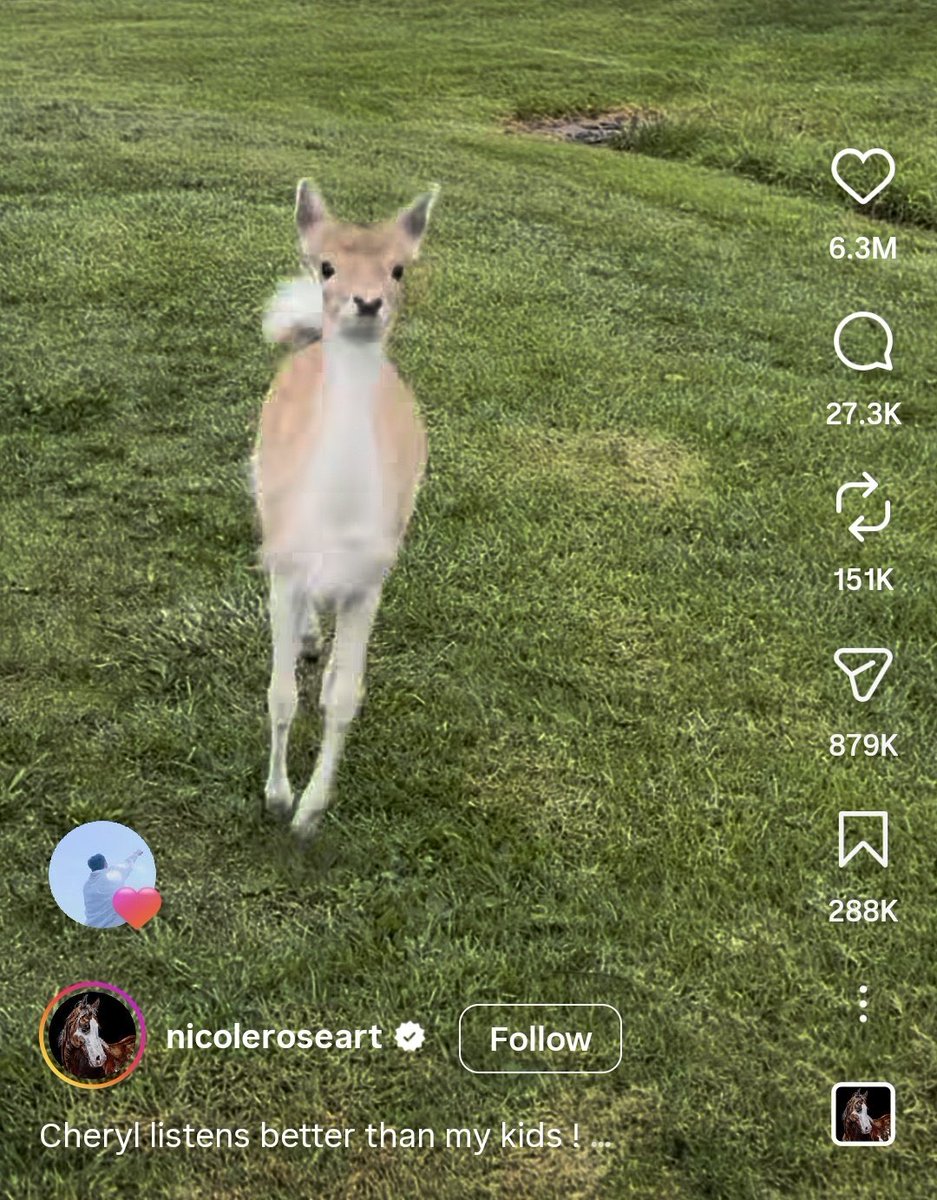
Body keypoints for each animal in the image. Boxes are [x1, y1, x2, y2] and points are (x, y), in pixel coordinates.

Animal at [252, 181, 437, 839]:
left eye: (399, 268)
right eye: (326, 265)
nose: (367, 302)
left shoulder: (370, 581)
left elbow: (345, 699)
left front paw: (310, 813)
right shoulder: (283, 564)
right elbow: (281, 693)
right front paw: (276, 797)